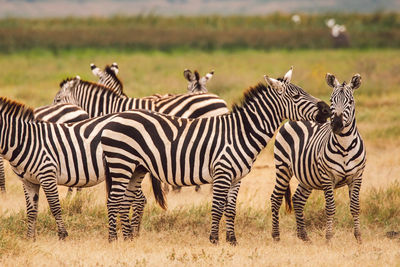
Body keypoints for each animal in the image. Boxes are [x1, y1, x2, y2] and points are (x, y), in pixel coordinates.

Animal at [100, 68, 332, 245]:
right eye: (296, 96)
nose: (327, 110)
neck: (241, 132)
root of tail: (114, 118)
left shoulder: (237, 178)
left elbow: (230, 209)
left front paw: (232, 240)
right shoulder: (222, 172)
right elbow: (217, 207)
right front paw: (214, 239)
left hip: (136, 168)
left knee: (125, 200)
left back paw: (127, 238)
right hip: (121, 163)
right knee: (113, 200)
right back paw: (113, 239)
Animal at [272, 73, 366, 243]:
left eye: (350, 102)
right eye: (331, 100)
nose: (336, 125)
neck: (345, 146)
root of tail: (293, 119)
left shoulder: (357, 176)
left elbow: (355, 207)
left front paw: (358, 238)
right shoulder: (327, 177)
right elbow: (330, 208)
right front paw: (328, 238)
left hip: (306, 176)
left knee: (298, 199)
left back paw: (303, 237)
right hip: (283, 167)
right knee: (276, 198)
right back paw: (276, 236)